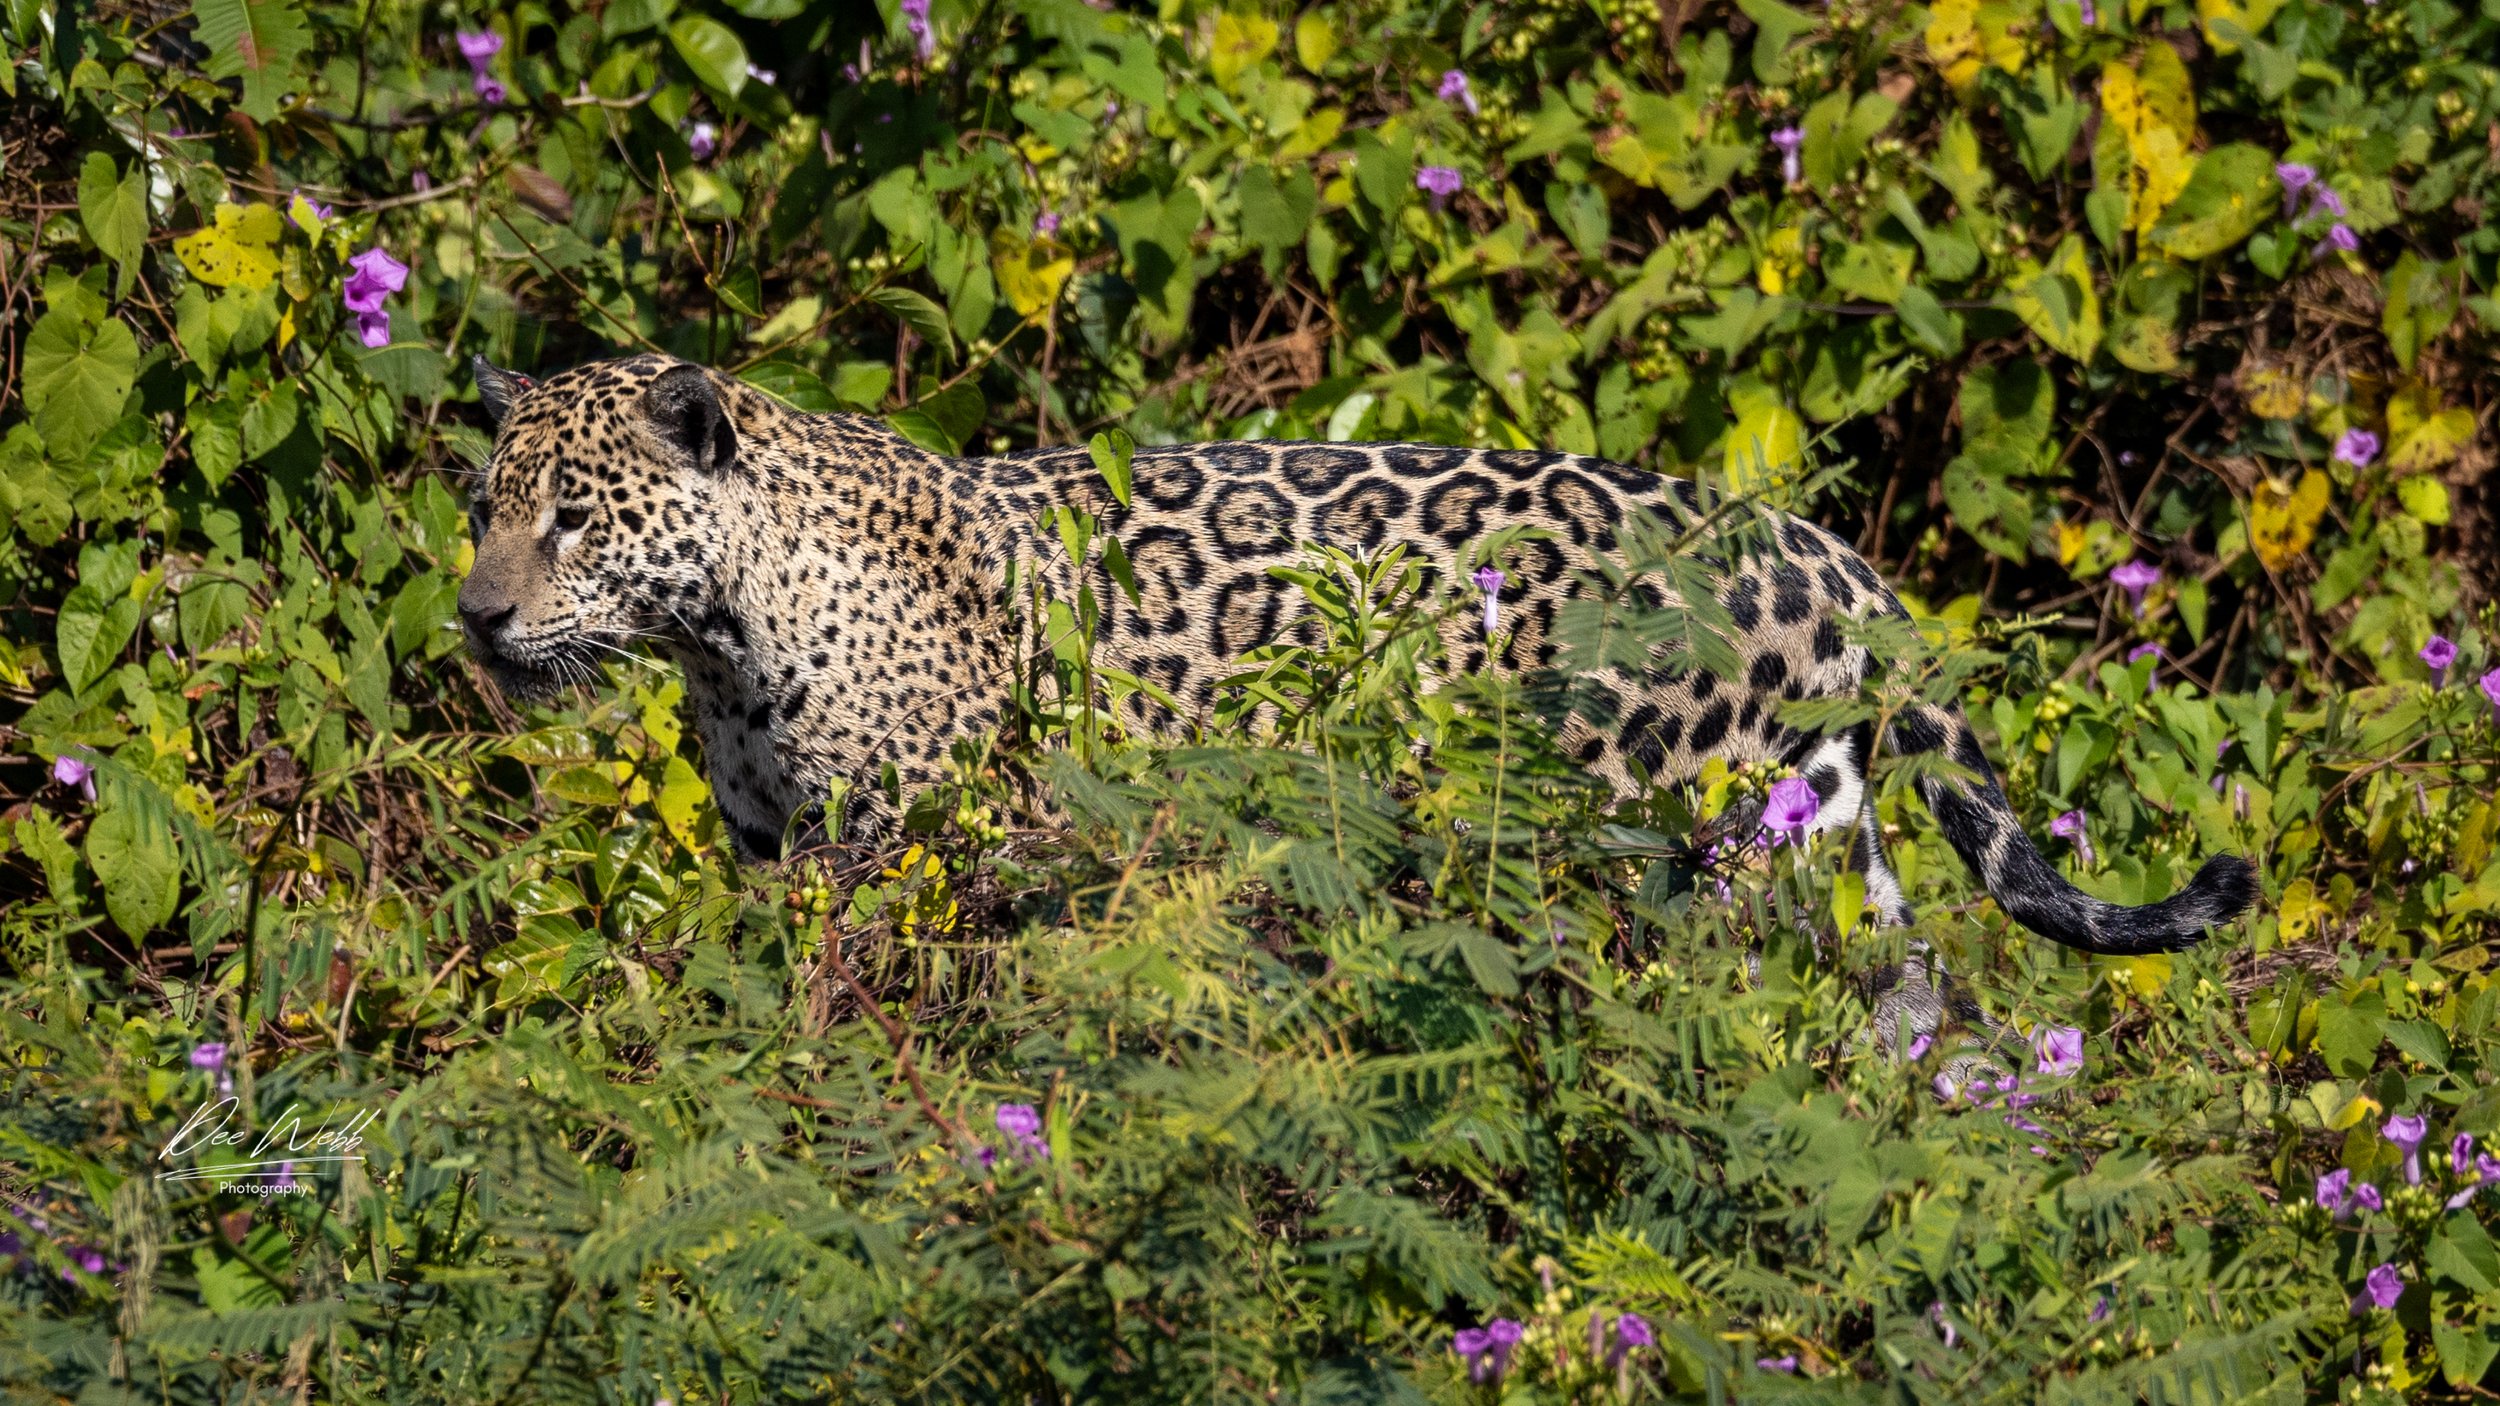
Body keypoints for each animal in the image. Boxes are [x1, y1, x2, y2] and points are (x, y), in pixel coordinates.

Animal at [456, 352, 2257, 1056]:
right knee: (1916, 992)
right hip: (1820, 823)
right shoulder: (786, 856)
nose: (477, 616)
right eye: (485, 502)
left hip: (1682, 848)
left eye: (578, 517)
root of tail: (1823, 549)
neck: (726, 636)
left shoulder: (928, 848)